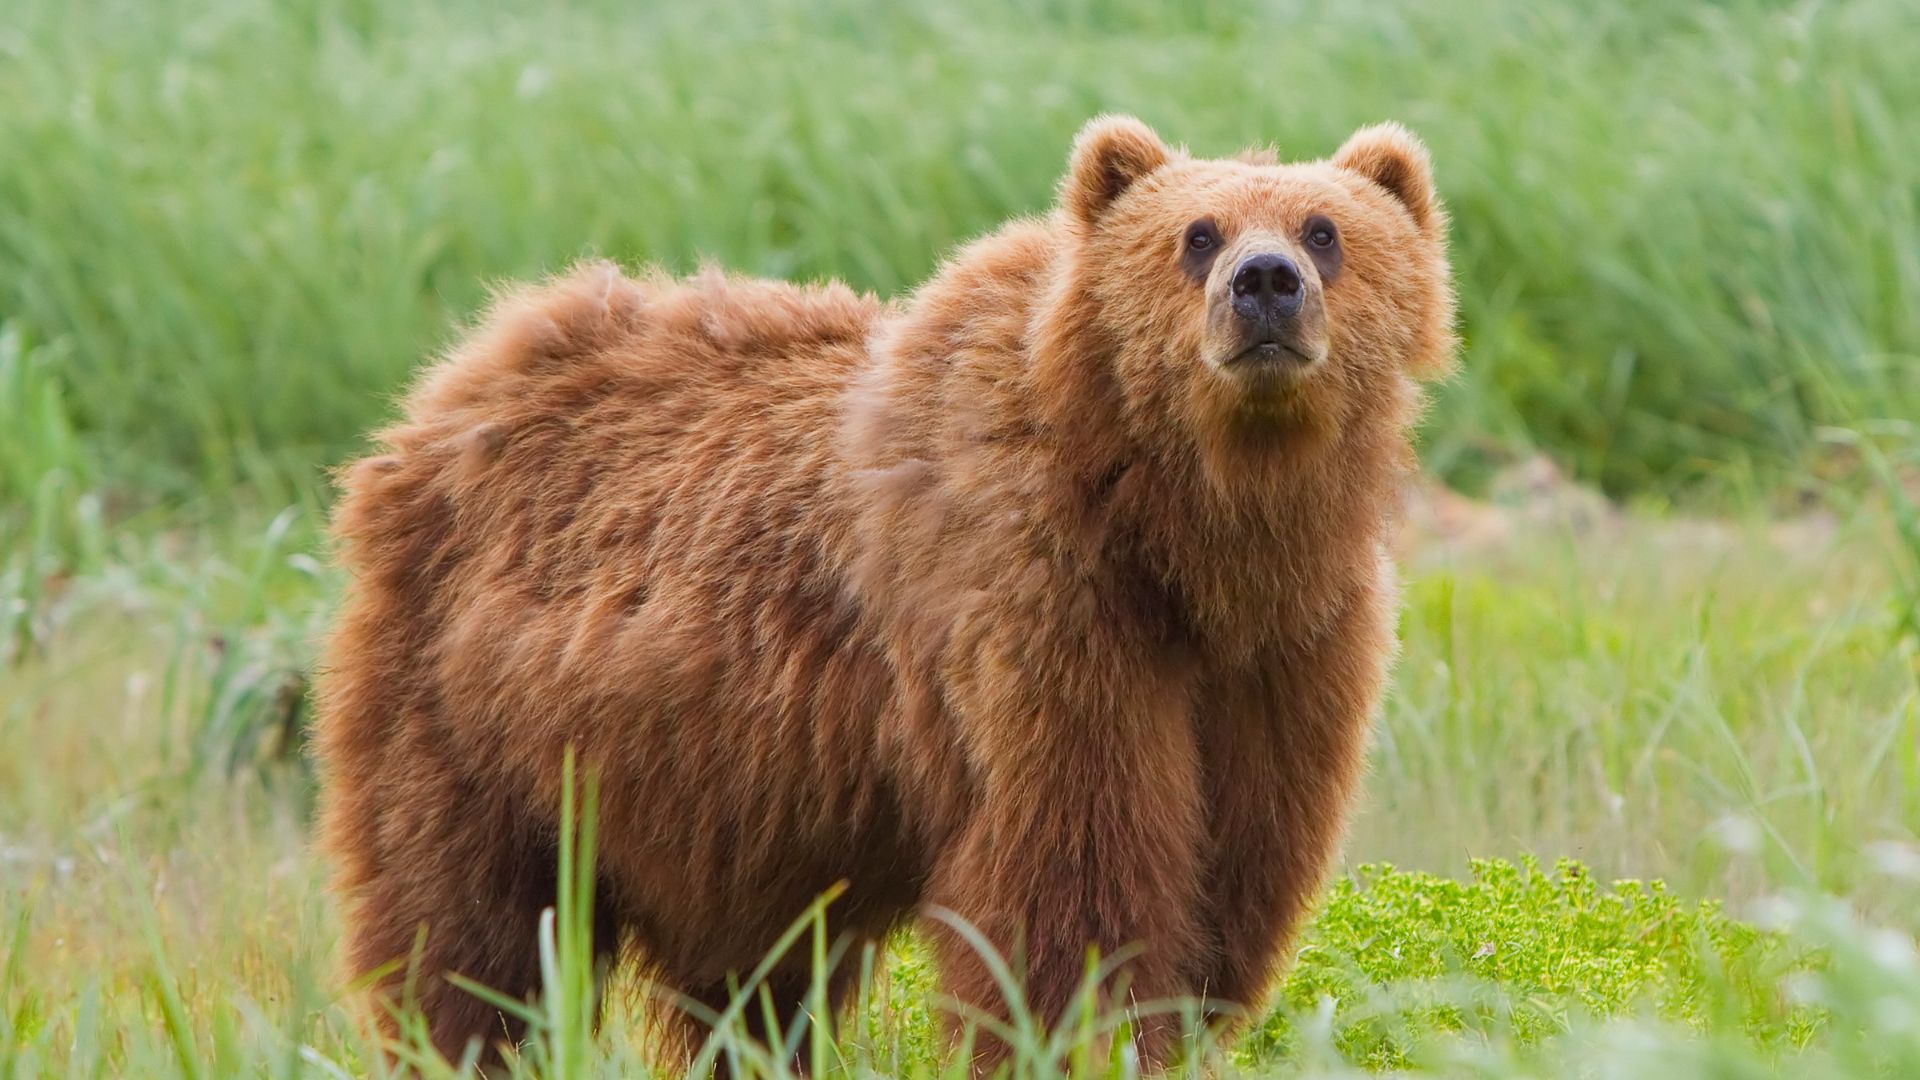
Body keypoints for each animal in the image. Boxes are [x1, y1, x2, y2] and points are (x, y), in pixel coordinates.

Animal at [313, 114, 1455, 1071]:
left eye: (1324, 230)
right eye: (1197, 234)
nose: (1265, 283)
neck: (1189, 535)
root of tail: (457, 377)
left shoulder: (1287, 654)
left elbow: (1235, 872)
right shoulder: (1040, 609)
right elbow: (1074, 880)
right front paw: (1084, 1034)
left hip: (717, 798)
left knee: (748, 980)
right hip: (471, 715)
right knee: (468, 931)